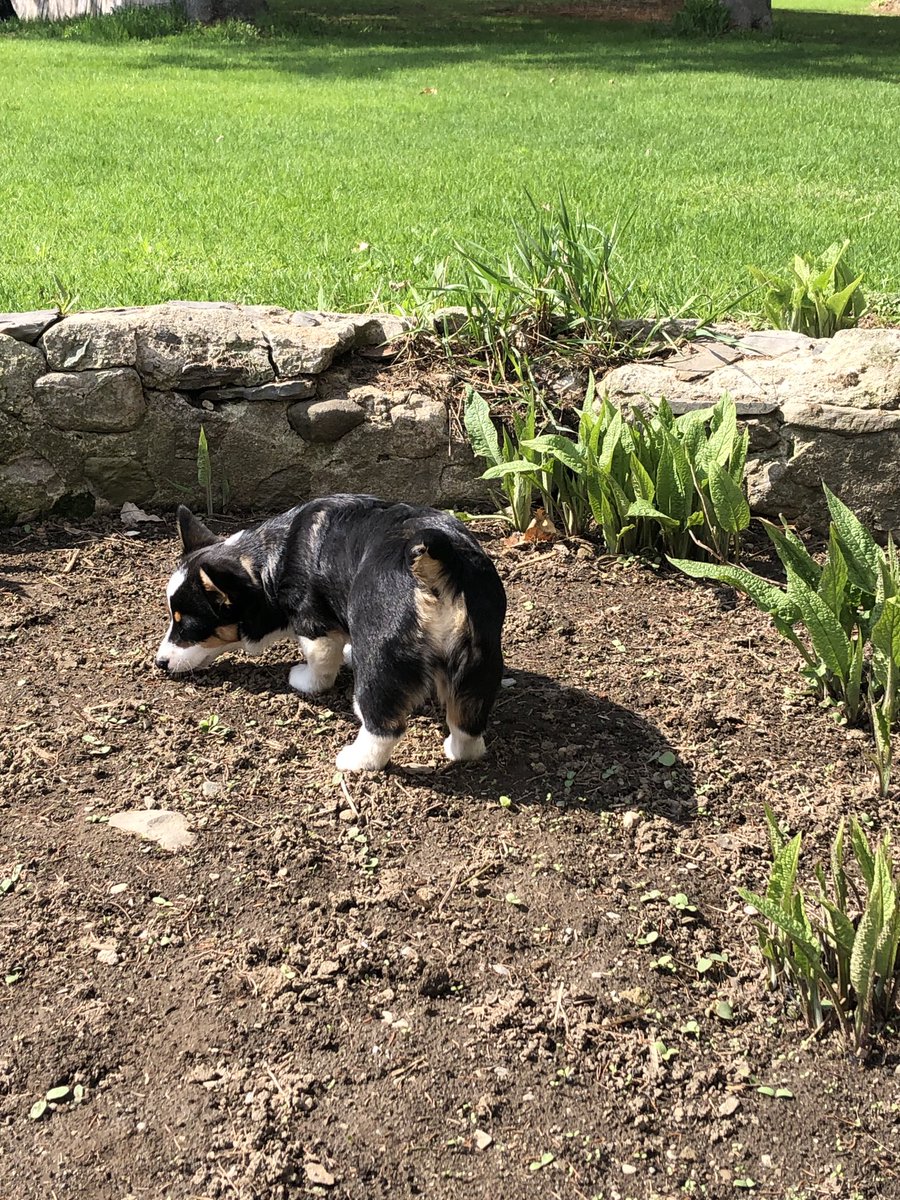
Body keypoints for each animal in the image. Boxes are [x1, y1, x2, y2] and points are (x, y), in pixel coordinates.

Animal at [154, 494, 508, 768]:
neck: (267, 564)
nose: (159, 663)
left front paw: (304, 681)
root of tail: (436, 564)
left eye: (186, 624)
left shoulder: (313, 628)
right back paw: (457, 751)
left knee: (383, 725)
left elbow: (320, 666)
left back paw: (355, 760)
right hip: (481, 659)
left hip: (380, 656)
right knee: (468, 722)